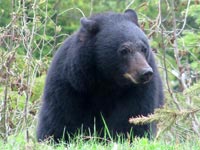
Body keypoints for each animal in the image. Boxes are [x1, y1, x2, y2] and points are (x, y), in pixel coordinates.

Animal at [36, 8, 163, 142]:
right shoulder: (69, 82)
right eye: (124, 50)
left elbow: (134, 116)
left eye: (144, 48)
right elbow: (60, 115)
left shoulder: (139, 90)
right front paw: (53, 138)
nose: (146, 72)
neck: (107, 80)